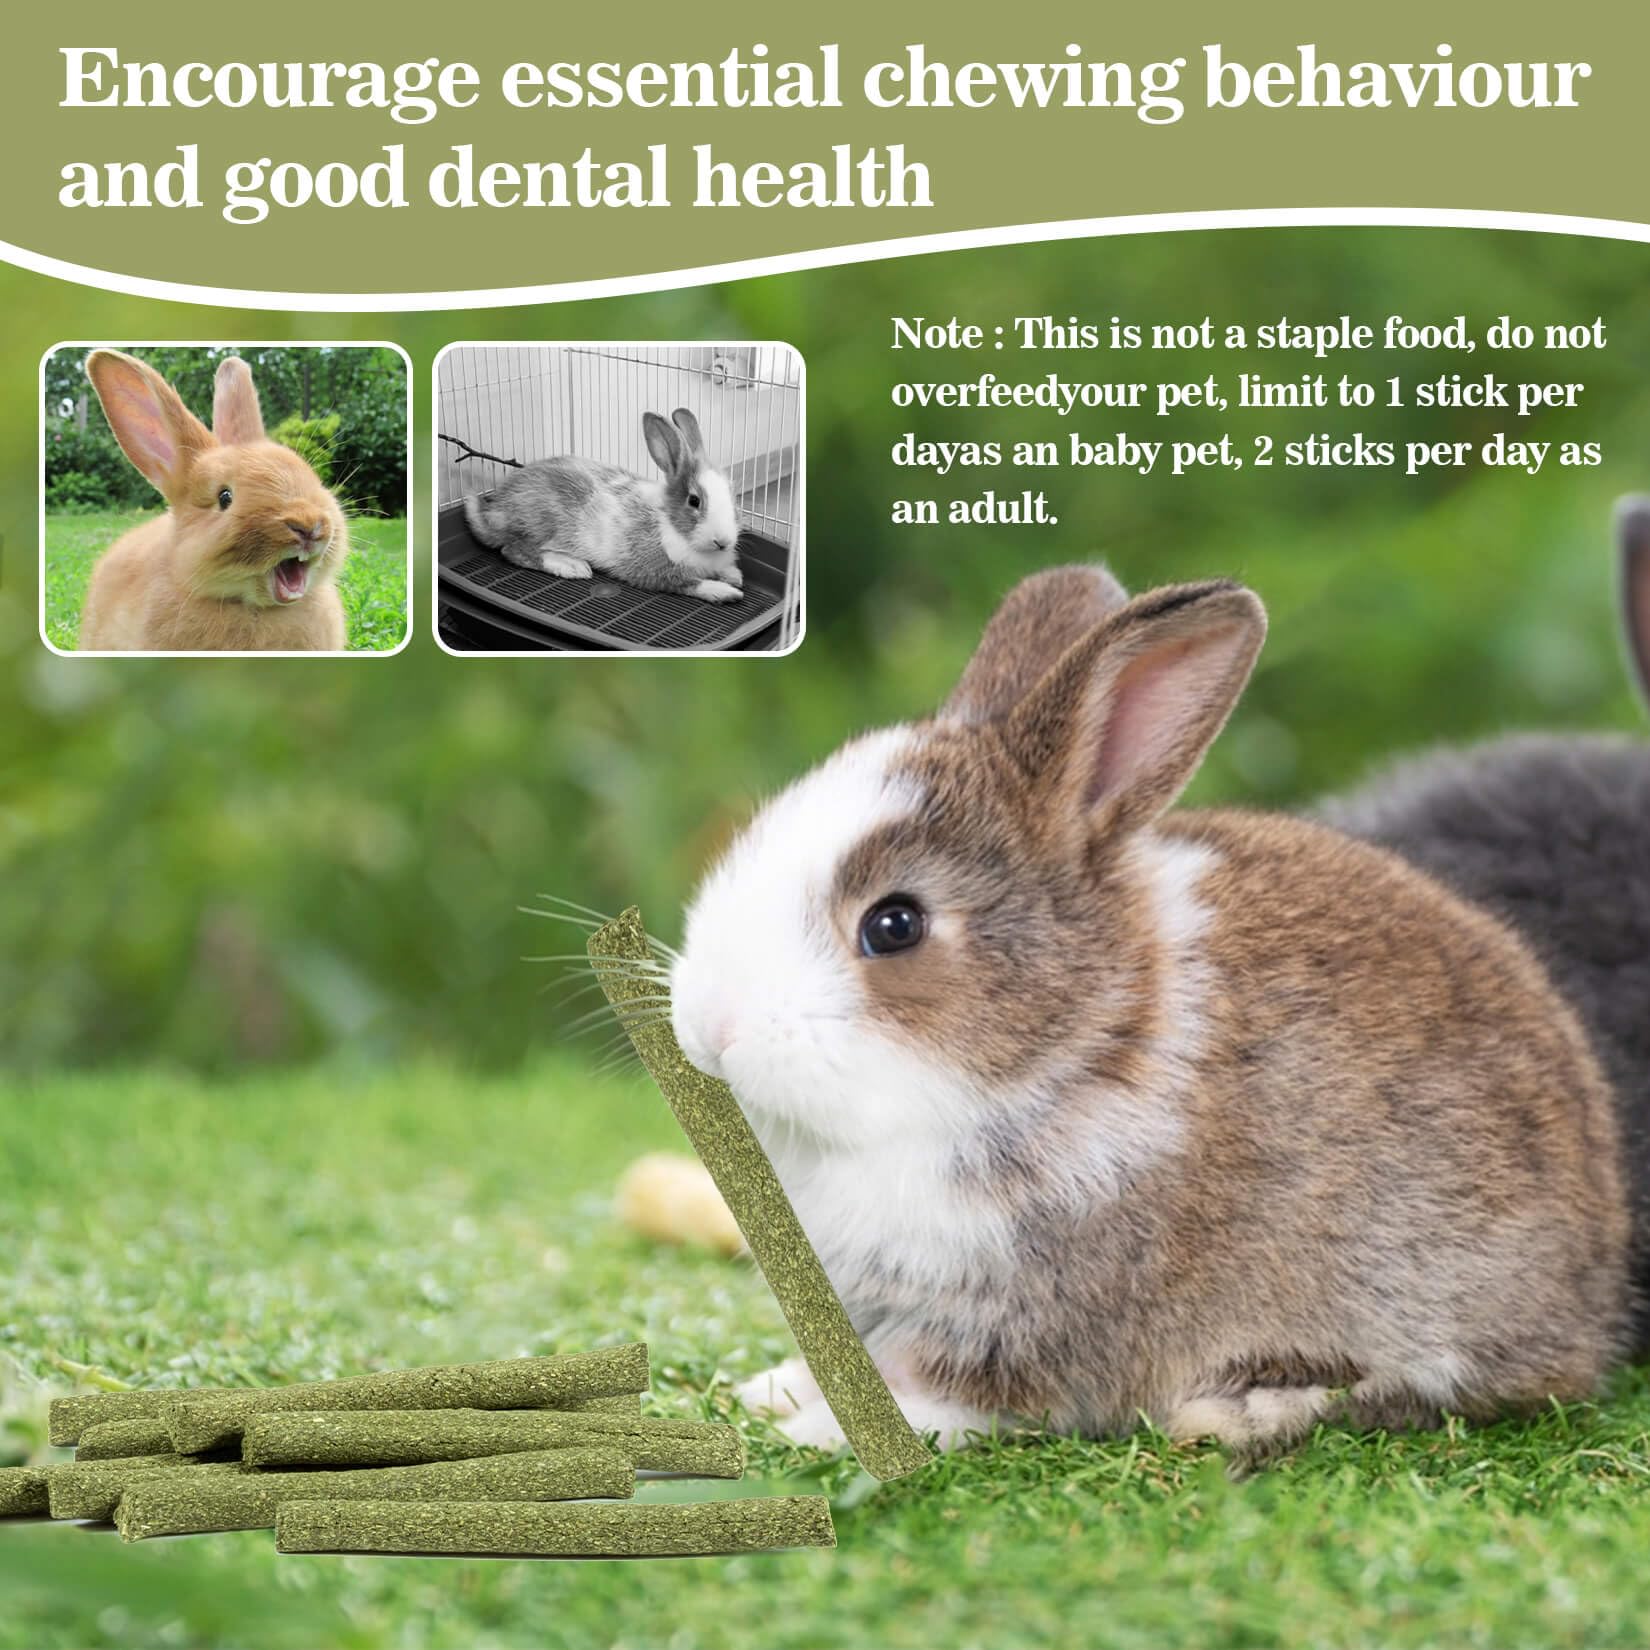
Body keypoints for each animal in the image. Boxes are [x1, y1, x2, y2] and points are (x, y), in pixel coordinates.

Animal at [461, 407, 744, 604]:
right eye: (694, 501)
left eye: (732, 494)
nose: (723, 541)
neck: (673, 525)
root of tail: (493, 511)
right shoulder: (655, 572)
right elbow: (690, 583)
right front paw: (726, 592)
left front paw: (734, 576)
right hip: (541, 525)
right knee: (513, 550)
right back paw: (571, 566)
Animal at [669, 566, 1634, 1456]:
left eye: (894, 925)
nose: (709, 1026)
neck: (1075, 1044)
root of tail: (1592, 1291)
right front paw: (774, 1390)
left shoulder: (1029, 1317)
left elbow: (951, 1391)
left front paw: (820, 1431)